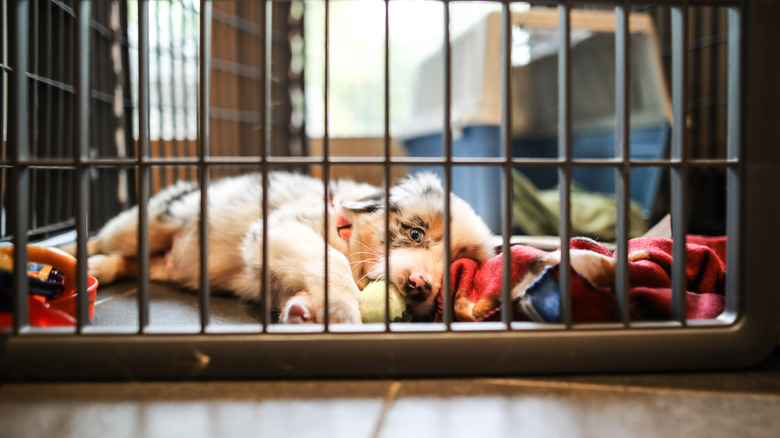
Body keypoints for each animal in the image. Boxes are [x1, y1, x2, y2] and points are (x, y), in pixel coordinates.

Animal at [84, 173, 494, 324]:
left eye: (457, 264)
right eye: (416, 234)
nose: (420, 285)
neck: (346, 231)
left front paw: (303, 312)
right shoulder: (281, 229)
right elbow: (332, 263)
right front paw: (342, 312)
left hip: (155, 261)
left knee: (125, 262)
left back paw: (95, 269)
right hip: (147, 224)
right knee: (99, 238)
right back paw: (78, 253)